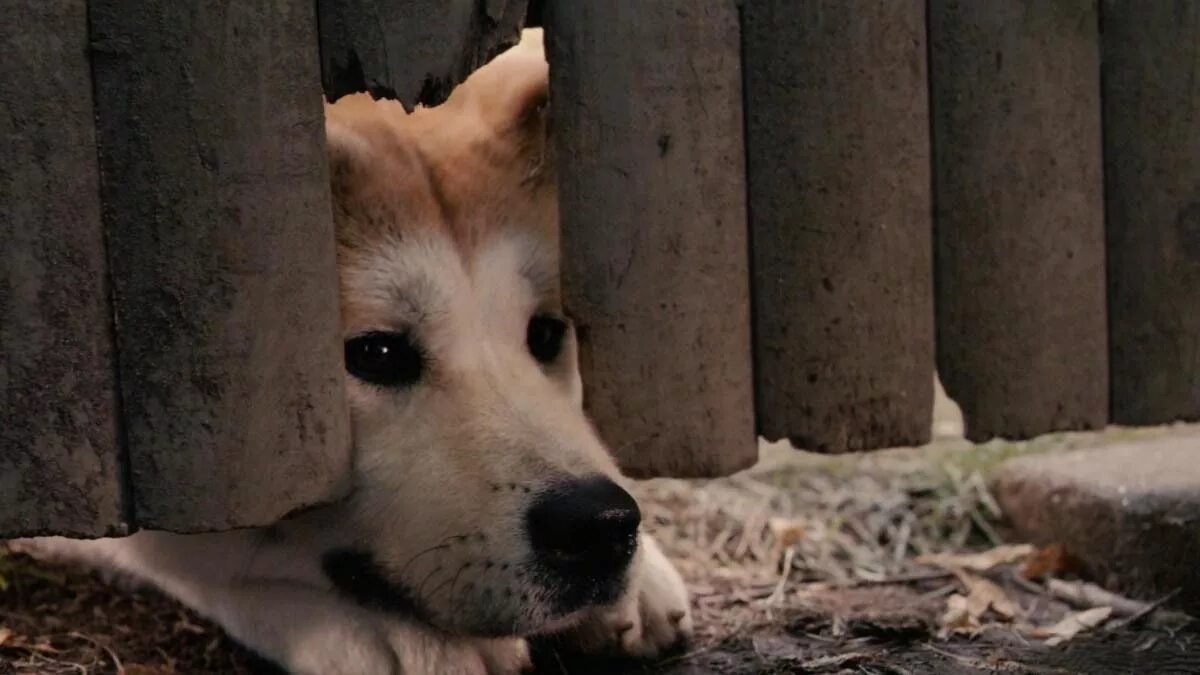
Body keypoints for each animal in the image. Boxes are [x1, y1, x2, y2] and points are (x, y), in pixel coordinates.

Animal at [9, 28, 691, 667]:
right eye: (378, 355)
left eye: (545, 334)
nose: (601, 526)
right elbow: (202, 543)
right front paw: (370, 627)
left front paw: (643, 578)